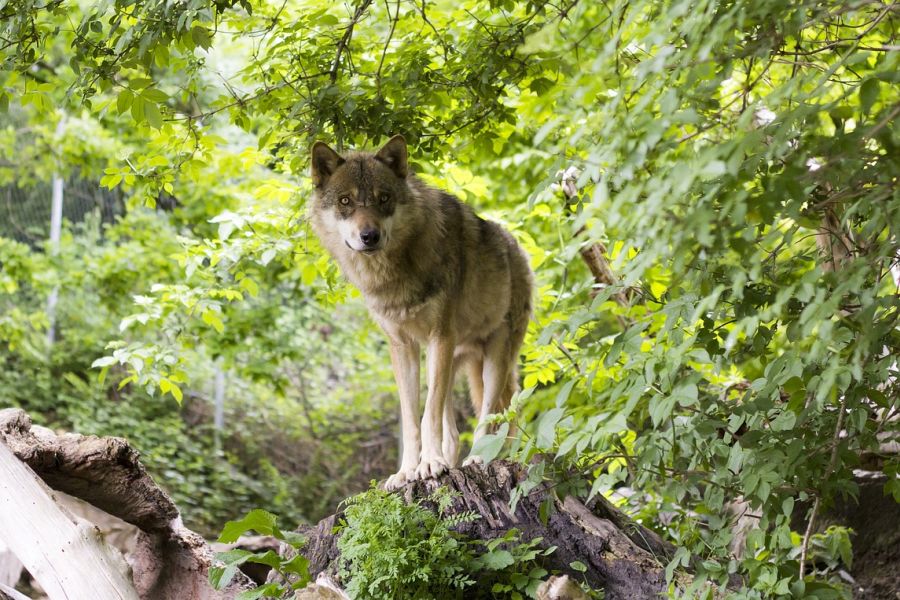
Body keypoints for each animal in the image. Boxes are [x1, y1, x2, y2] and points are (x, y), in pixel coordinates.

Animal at [310, 134, 536, 490]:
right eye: (346, 201)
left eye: (384, 198)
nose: (369, 236)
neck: (394, 273)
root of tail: (517, 247)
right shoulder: (403, 347)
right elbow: (411, 419)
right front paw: (407, 472)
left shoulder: (438, 337)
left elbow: (427, 414)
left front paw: (429, 464)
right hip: (452, 360)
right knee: (454, 430)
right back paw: (453, 461)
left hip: (493, 360)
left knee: (491, 414)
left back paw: (479, 458)